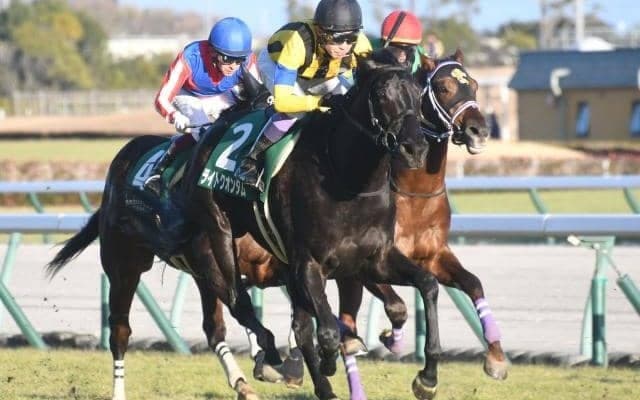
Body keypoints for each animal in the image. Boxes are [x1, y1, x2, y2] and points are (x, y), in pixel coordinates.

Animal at [180, 56, 440, 400]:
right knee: (239, 300)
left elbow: (427, 285)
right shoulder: (308, 263)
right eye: (382, 94)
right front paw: (330, 358)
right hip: (219, 233)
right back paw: (271, 356)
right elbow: (327, 331)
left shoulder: (376, 258)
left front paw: (427, 377)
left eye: (418, 94)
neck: (350, 182)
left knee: (299, 327)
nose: (415, 149)